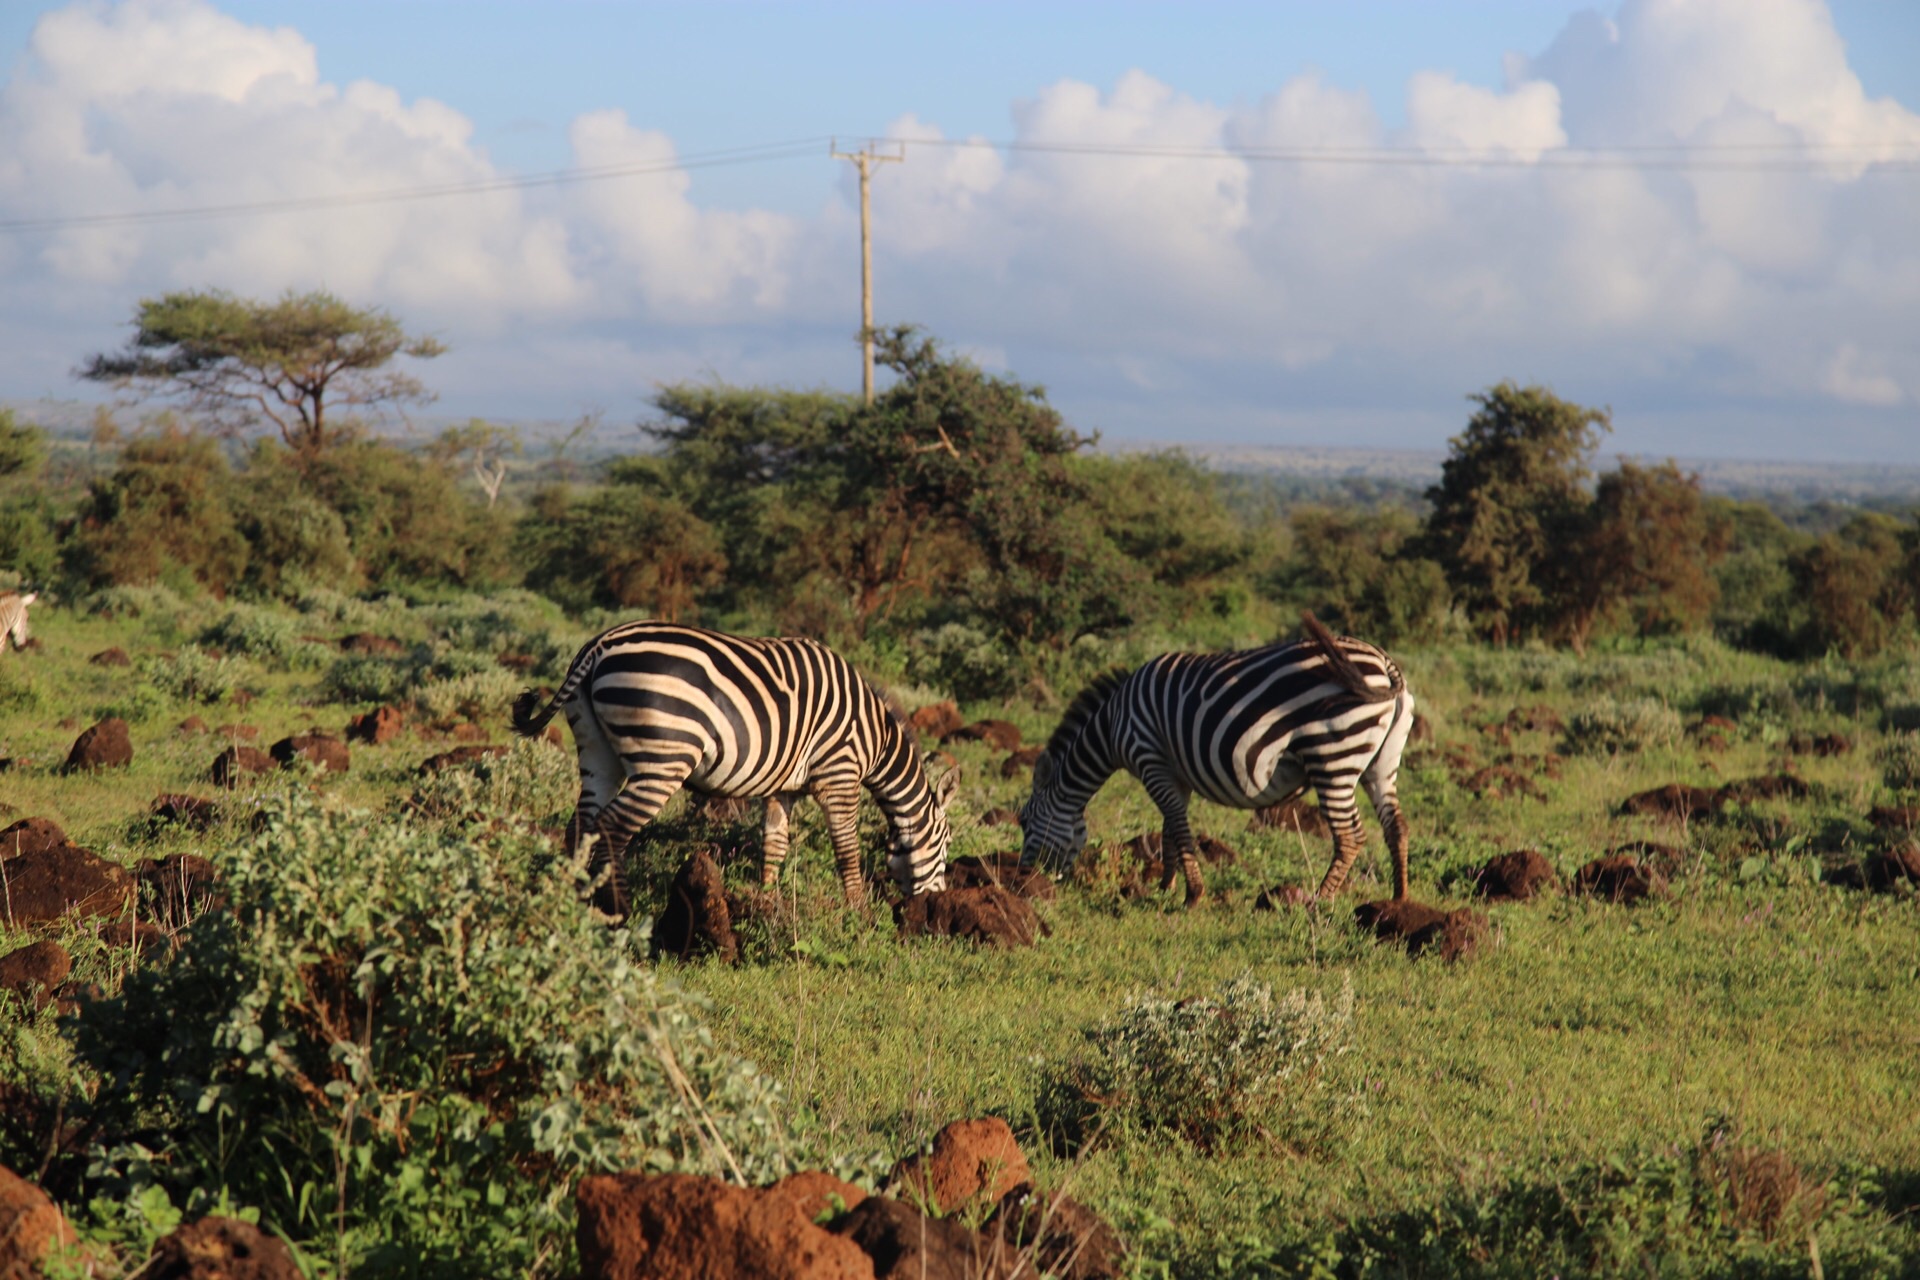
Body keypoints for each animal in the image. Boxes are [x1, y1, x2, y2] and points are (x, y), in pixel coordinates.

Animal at [510, 621, 960, 917]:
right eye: (947, 844)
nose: (938, 901)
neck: (876, 739)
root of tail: (599, 645)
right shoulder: (839, 775)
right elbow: (847, 848)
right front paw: (858, 912)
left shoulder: (784, 787)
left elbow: (774, 844)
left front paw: (768, 903)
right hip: (663, 759)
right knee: (612, 829)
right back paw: (620, 911)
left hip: (596, 751)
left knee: (580, 826)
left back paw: (572, 901)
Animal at [1021, 614, 1413, 905]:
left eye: (1024, 821)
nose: (1021, 883)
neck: (1113, 724)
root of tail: (1384, 662)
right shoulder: (1175, 772)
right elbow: (1169, 828)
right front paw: (1165, 886)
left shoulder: (1150, 757)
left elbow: (1178, 827)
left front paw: (1192, 895)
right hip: (1381, 764)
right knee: (1395, 825)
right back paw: (1397, 900)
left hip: (1333, 754)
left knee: (1349, 836)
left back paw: (1318, 901)